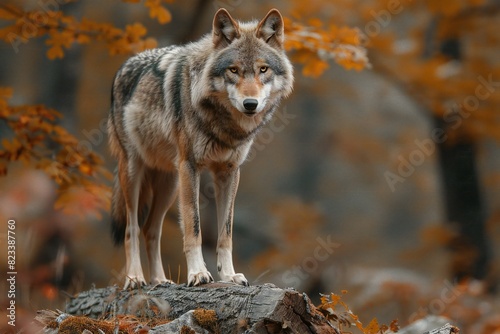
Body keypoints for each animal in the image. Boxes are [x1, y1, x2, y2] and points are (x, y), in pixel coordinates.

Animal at [106, 8, 292, 290]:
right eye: (234, 70)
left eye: (263, 69)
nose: (251, 104)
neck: (223, 123)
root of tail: (121, 69)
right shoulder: (190, 167)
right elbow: (193, 227)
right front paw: (198, 274)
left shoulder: (229, 172)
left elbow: (226, 233)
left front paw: (229, 276)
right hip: (135, 174)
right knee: (132, 229)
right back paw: (135, 278)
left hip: (169, 185)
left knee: (151, 230)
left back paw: (160, 280)